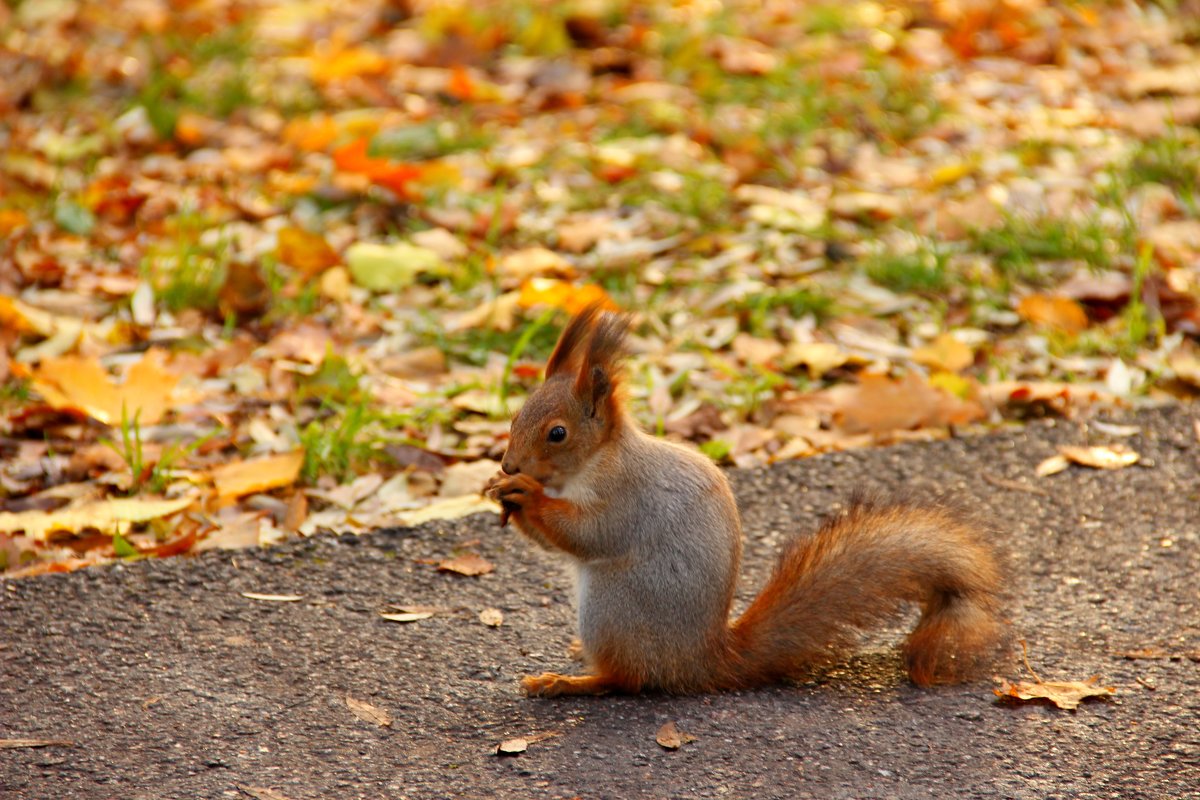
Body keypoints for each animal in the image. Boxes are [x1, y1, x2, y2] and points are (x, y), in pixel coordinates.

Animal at [482, 303, 998, 695]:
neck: (594, 461)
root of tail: (702, 662)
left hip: (612, 608)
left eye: (557, 433)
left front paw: (526, 495)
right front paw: (495, 489)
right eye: (516, 416)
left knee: (627, 680)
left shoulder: (626, 496)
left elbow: (587, 533)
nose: (509, 465)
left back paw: (569, 682)